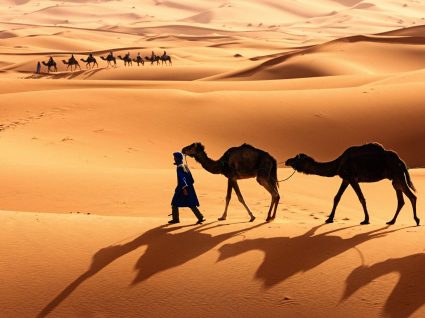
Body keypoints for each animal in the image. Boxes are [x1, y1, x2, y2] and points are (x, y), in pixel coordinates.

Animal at [284, 143, 418, 225]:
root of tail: (400, 160)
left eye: (296, 158)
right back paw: (391, 221)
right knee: (401, 200)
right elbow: (337, 197)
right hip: (395, 179)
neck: (338, 163)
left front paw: (366, 220)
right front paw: (329, 219)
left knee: (412, 196)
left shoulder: (352, 178)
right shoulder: (346, 179)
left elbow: (361, 198)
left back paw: (416, 220)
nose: (287, 161)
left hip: (398, 174)